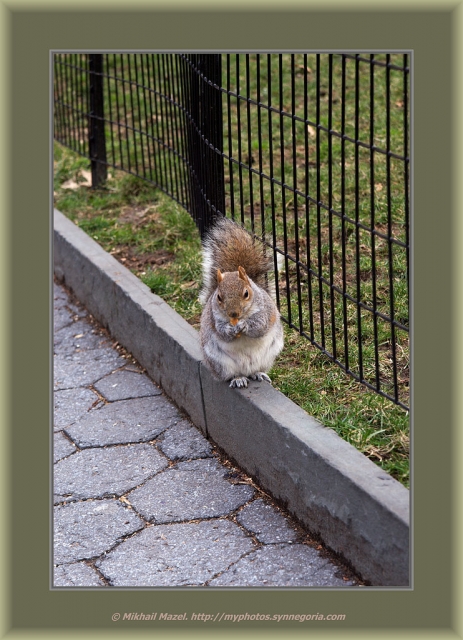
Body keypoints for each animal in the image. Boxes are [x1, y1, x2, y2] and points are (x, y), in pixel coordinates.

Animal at [198, 219, 284, 390]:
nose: (233, 314)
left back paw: (258, 374)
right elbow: (221, 331)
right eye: (219, 297)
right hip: (220, 363)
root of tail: (247, 369)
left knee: (256, 370)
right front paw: (231, 330)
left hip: (269, 355)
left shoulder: (264, 312)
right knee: (233, 374)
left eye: (246, 293)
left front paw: (244, 325)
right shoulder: (214, 318)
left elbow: (260, 326)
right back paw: (238, 379)